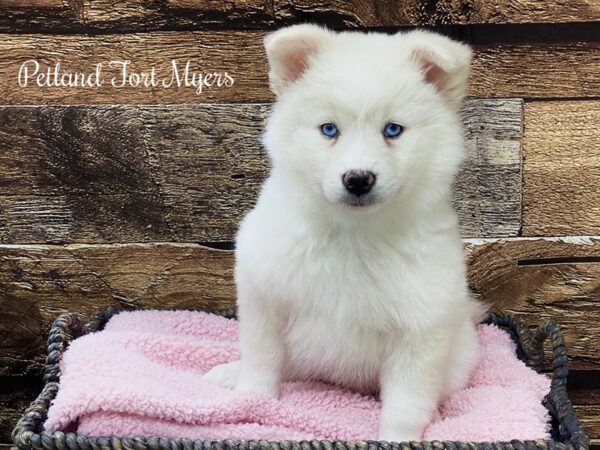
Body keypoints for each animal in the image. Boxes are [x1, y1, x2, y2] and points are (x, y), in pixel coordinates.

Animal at [204, 25, 486, 442]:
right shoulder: (264, 296)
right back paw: (228, 373)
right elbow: (262, 358)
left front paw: (399, 439)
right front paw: (252, 401)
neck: (352, 233)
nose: (357, 179)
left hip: (457, 355)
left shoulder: (419, 330)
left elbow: (406, 404)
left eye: (392, 130)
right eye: (329, 129)